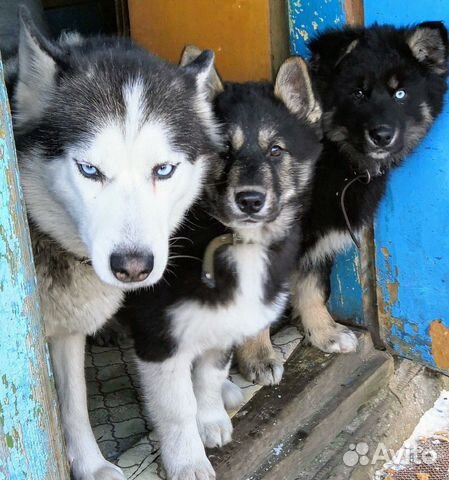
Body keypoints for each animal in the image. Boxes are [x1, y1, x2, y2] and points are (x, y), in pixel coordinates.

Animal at [7, 11, 221, 480]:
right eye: (89, 170)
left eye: (163, 170)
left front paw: (90, 466)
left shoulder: (66, 332)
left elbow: (73, 404)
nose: (133, 266)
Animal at [121, 52, 320, 480]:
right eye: (224, 152)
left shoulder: (224, 319)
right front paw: (188, 461)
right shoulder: (157, 334)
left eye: (276, 151)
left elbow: (209, 377)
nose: (250, 200)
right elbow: (176, 409)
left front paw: (210, 420)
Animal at [236, 21, 446, 376]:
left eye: (400, 94)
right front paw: (258, 358)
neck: (334, 158)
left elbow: (314, 288)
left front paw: (325, 333)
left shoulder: (318, 243)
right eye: (358, 93)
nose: (382, 136)